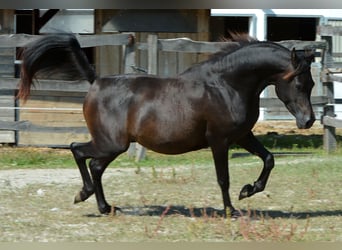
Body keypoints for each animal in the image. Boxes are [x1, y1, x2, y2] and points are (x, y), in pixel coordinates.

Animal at [16, 33, 316, 217]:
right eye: (299, 83)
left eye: (312, 83)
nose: (308, 120)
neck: (226, 85)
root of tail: (96, 80)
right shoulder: (219, 140)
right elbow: (223, 178)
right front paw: (230, 210)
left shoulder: (242, 135)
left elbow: (269, 159)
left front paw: (248, 190)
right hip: (111, 143)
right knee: (78, 150)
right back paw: (85, 196)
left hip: (112, 145)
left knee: (94, 165)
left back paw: (104, 206)